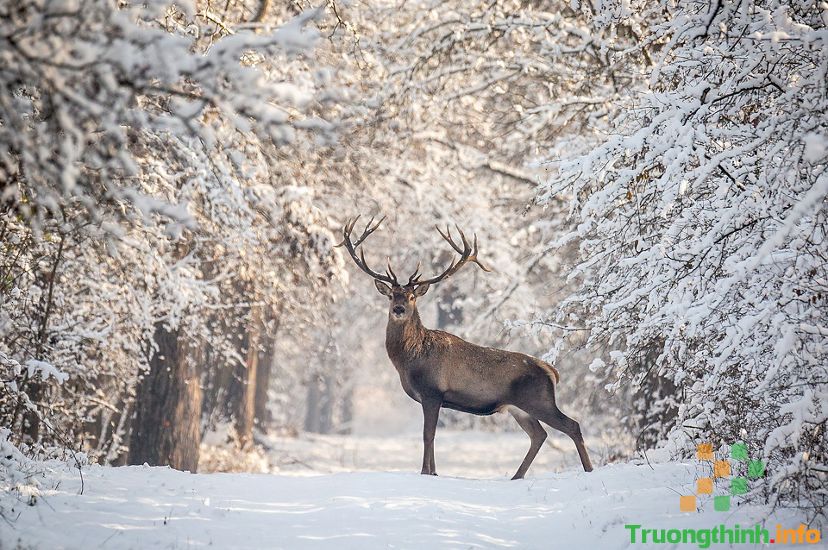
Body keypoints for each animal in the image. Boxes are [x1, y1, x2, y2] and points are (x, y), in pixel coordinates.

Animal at [338, 218, 596, 480]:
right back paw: (516, 476)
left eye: (411, 297)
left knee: (571, 425)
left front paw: (425, 472)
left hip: (539, 399)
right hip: (519, 407)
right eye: (391, 295)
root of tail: (551, 370)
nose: (398, 309)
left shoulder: (432, 392)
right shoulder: (431, 398)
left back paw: (589, 470)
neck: (410, 359)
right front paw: (434, 472)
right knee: (539, 434)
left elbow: (428, 435)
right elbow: (431, 437)